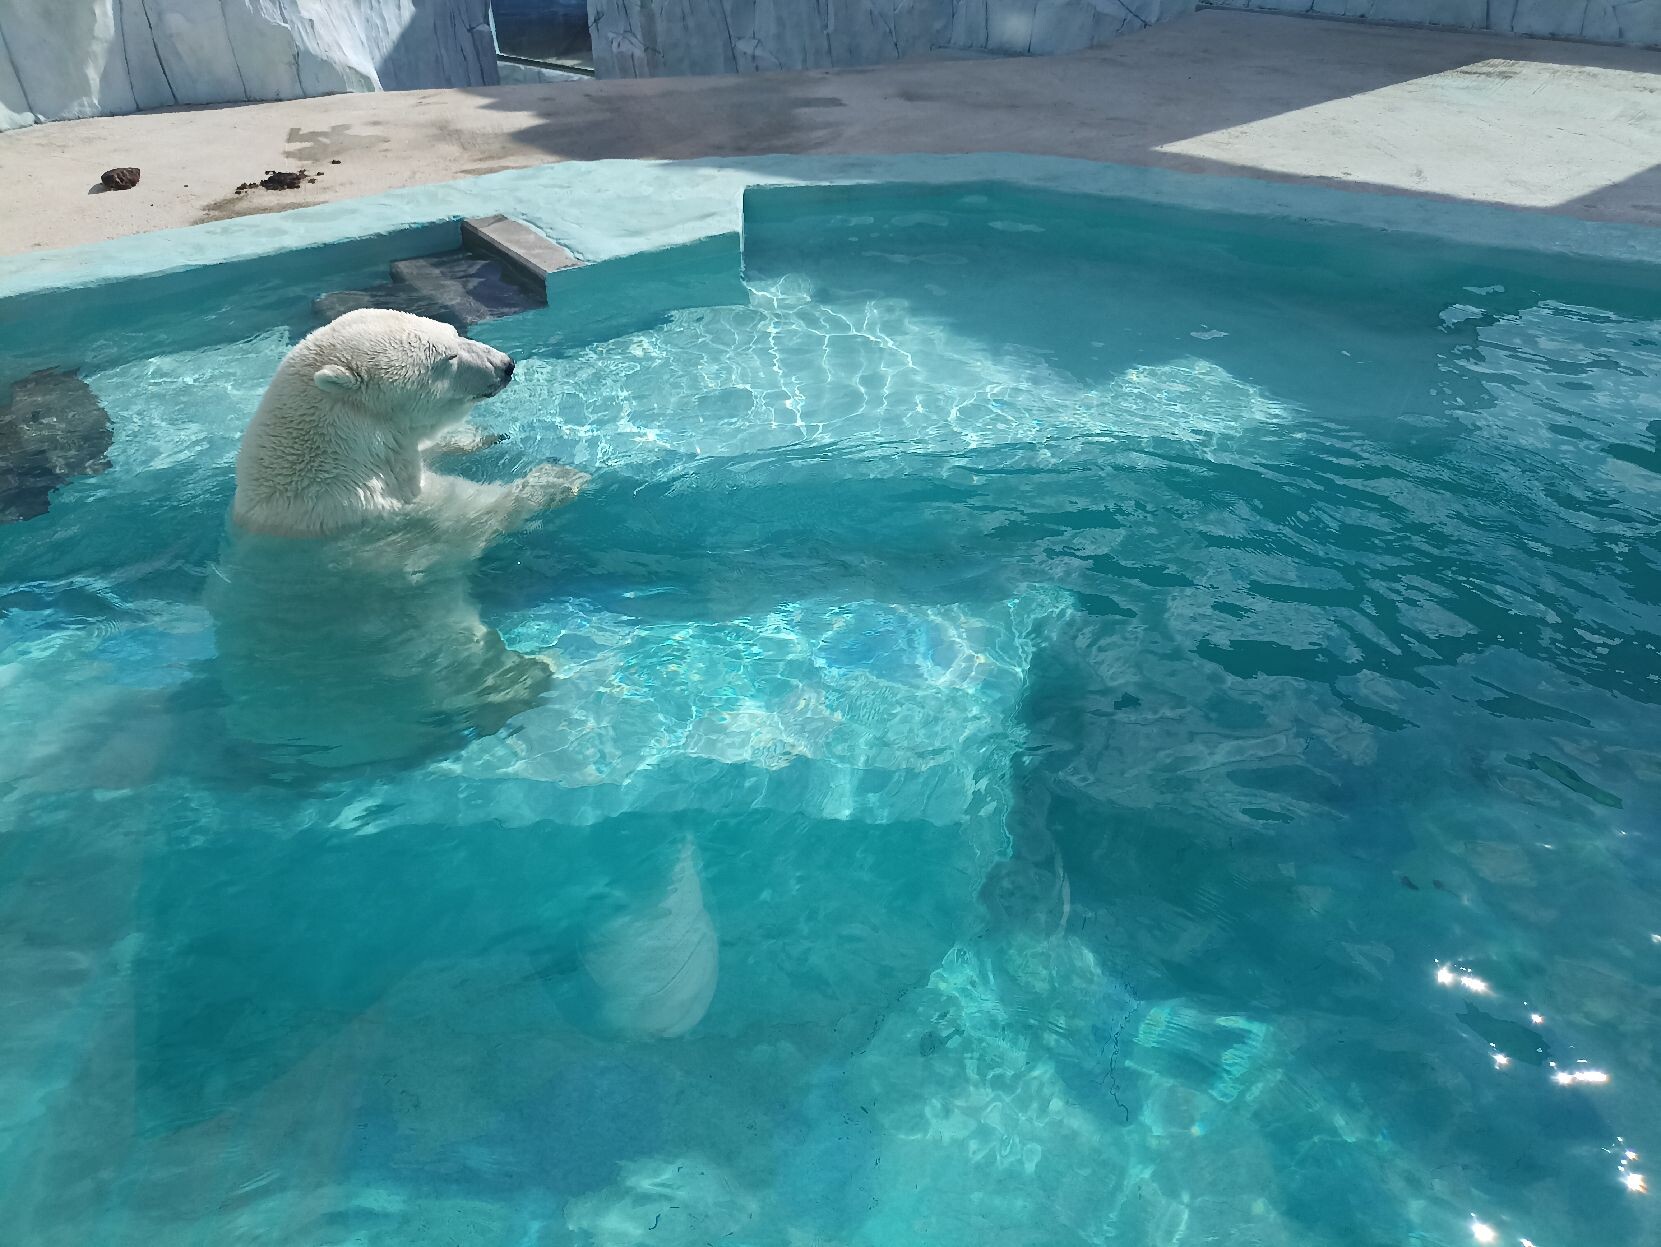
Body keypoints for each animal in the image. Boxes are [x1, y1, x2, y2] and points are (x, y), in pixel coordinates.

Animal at [209, 310, 584, 770]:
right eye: (447, 359)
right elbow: (472, 517)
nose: (506, 365)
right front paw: (556, 479)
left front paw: (477, 437)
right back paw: (532, 676)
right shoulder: (395, 520)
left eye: (455, 333)